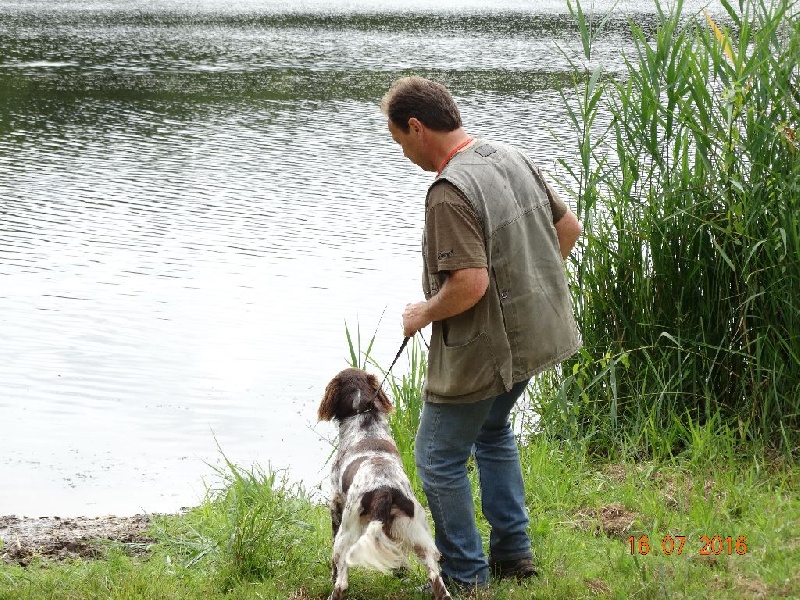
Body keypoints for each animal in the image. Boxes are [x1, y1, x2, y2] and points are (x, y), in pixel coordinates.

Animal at [320, 366, 456, 600]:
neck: (364, 420)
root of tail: (385, 490)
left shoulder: (336, 503)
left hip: (347, 534)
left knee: (342, 582)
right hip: (419, 534)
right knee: (437, 581)